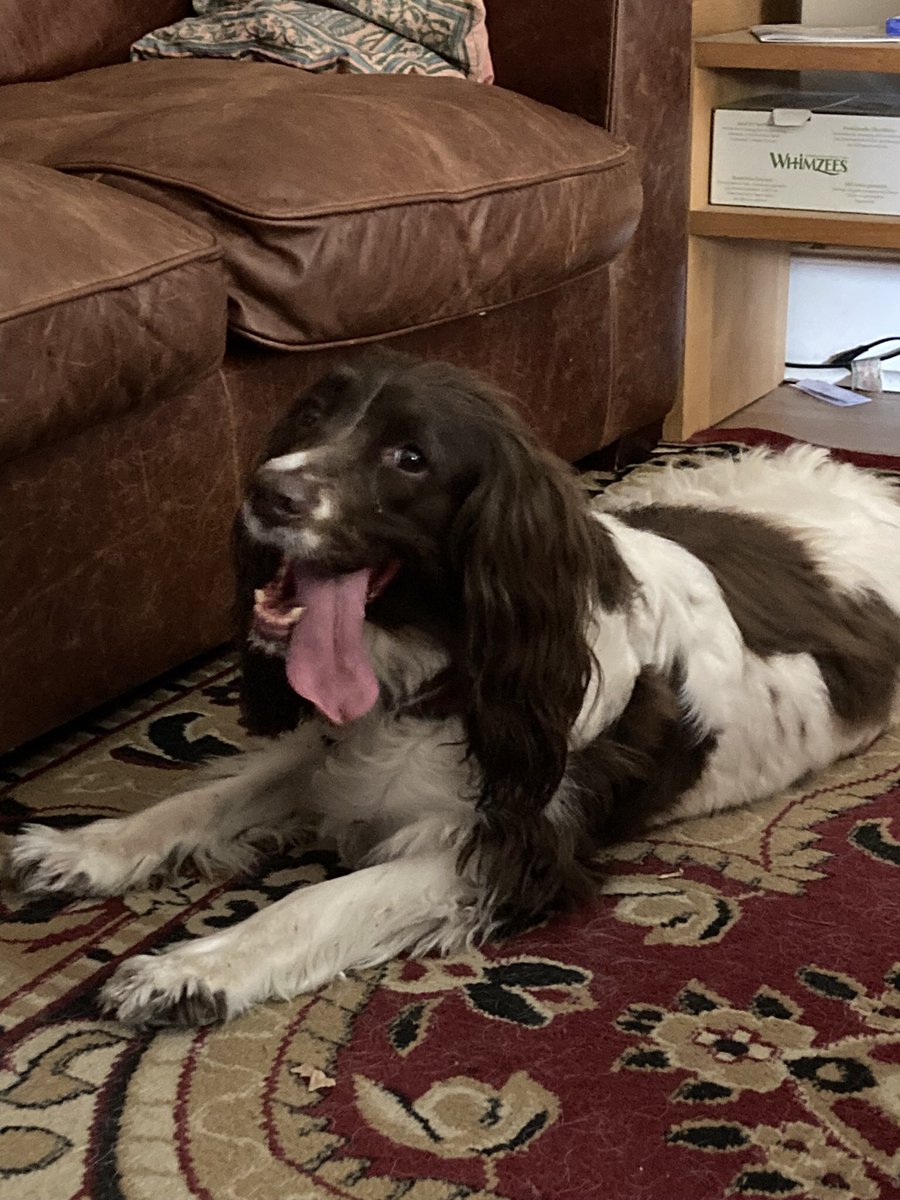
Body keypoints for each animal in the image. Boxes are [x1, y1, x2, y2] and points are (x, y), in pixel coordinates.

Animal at [7, 350, 900, 1027]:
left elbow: (315, 903)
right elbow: (204, 798)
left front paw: (190, 967)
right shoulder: (342, 743)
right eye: (309, 418)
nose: (266, 489)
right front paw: (83, 850)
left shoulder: (514, 847)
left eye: (410, 458)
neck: (445, 665)